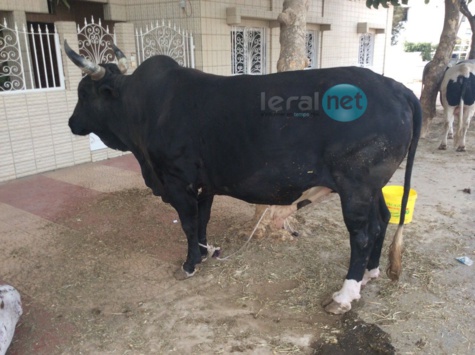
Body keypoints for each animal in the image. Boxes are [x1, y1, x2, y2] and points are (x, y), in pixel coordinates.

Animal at [65, 41, 422, 314]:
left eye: (83, 92)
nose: (71, 122)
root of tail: (393, 86)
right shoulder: (204, 183)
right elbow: (203, 220)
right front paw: (205, 253)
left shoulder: (176, 180)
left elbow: (188, 223)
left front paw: (189, 264)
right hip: (373, 186)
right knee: (383, 218)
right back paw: (369, 275)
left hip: (356, 184)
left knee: (362, 234)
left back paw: (344, 295)